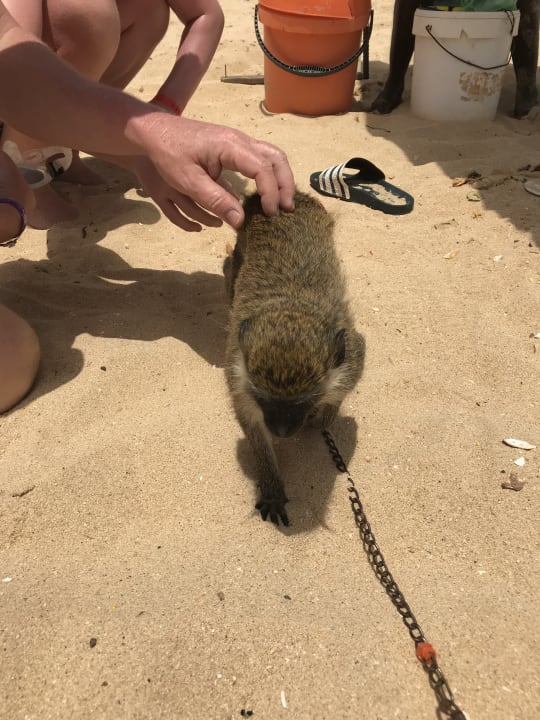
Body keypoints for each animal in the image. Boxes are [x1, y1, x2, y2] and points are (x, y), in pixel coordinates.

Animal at [224, 191, 365, 527]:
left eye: (300, 403)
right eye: (266, 402)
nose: (281, 430)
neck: (291, 307)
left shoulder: (352, 354)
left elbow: (339, 391)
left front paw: (324, 415)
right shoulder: (238, 372)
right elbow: (252, 425)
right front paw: (272, 486)